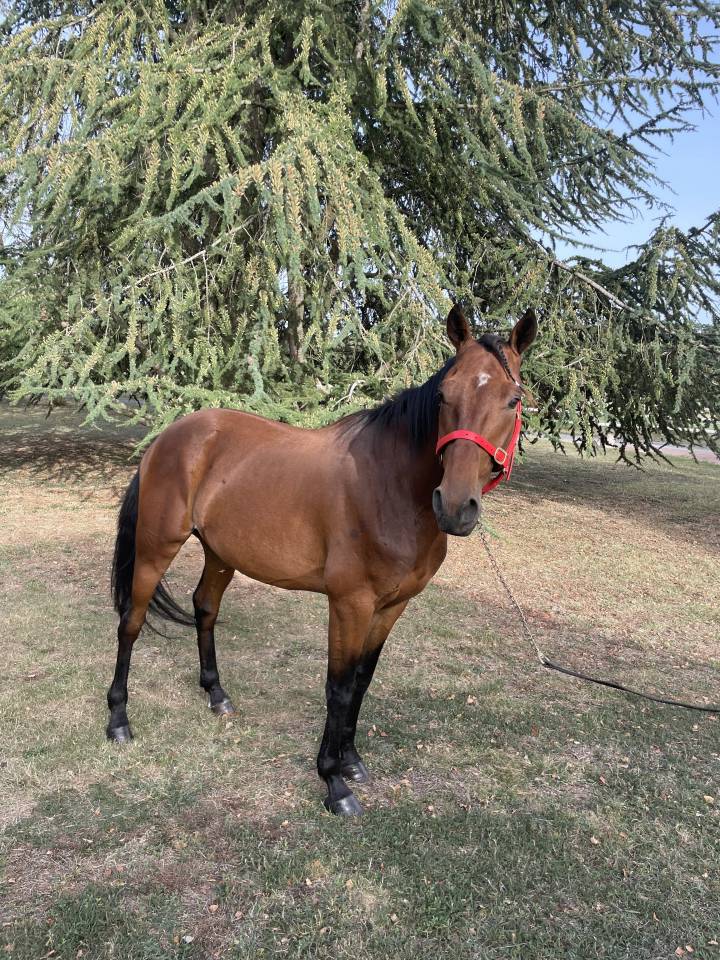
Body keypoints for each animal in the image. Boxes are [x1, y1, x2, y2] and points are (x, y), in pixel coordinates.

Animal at [107, 304, 537, 816]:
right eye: (444, 395)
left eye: (513, 400)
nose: (454, 507)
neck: (389, 485)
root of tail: (170, 436)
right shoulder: (350, 604)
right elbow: (339, 685)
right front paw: (334, 781)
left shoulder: (391, 607)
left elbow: (362, 681)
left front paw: (351, 761)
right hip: (156, 549)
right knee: (131, 623)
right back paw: (118, 720)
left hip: (220, 554)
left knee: (204, 608)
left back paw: (216, 694)